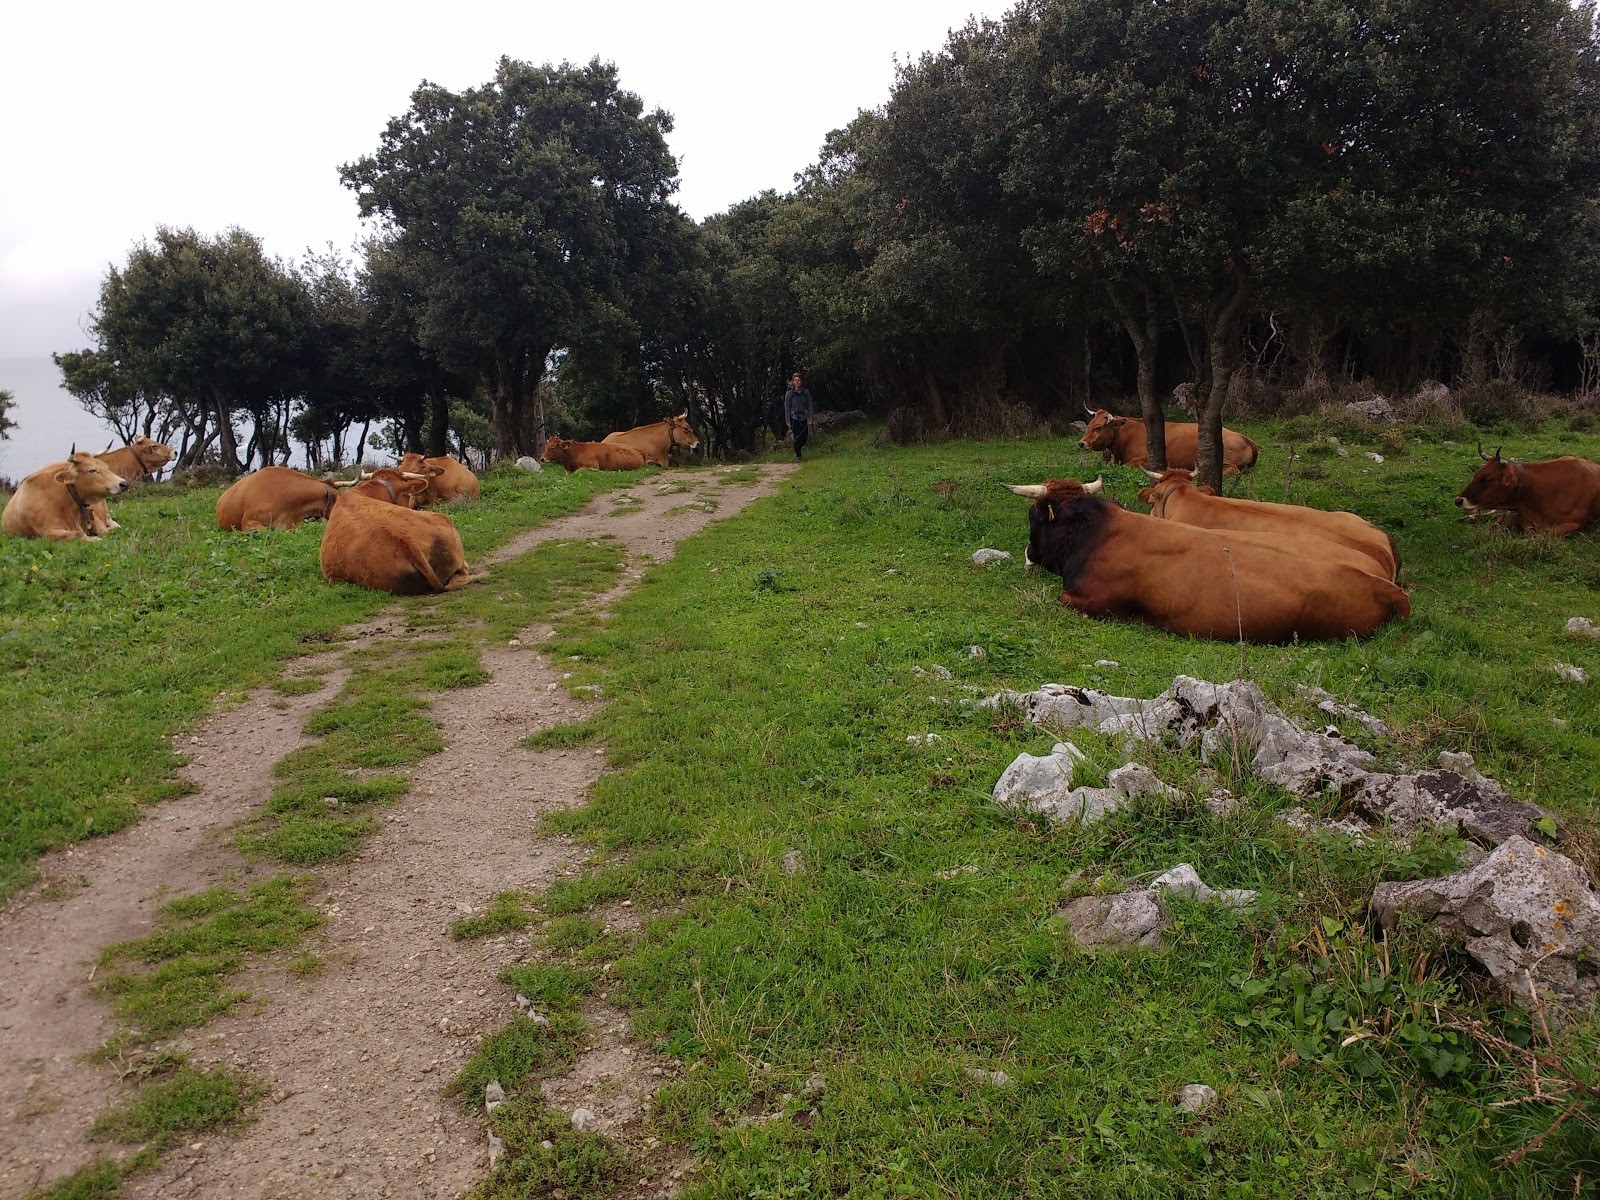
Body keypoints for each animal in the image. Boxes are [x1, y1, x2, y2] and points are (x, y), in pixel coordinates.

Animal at [1080, 408, 1260, 476]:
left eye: (1098, 427)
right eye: (1089, 424)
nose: (1081, 443)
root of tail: (1246, 438)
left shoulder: (1146, 460)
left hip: (1225, 459)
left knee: (1233, 470)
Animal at [1455, 443, 1600, 536]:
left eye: (1486, 478)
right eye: (1476, 474)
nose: (1458, 500)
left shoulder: (1576, 523)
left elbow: (1545, 534)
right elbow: (1494, 525)